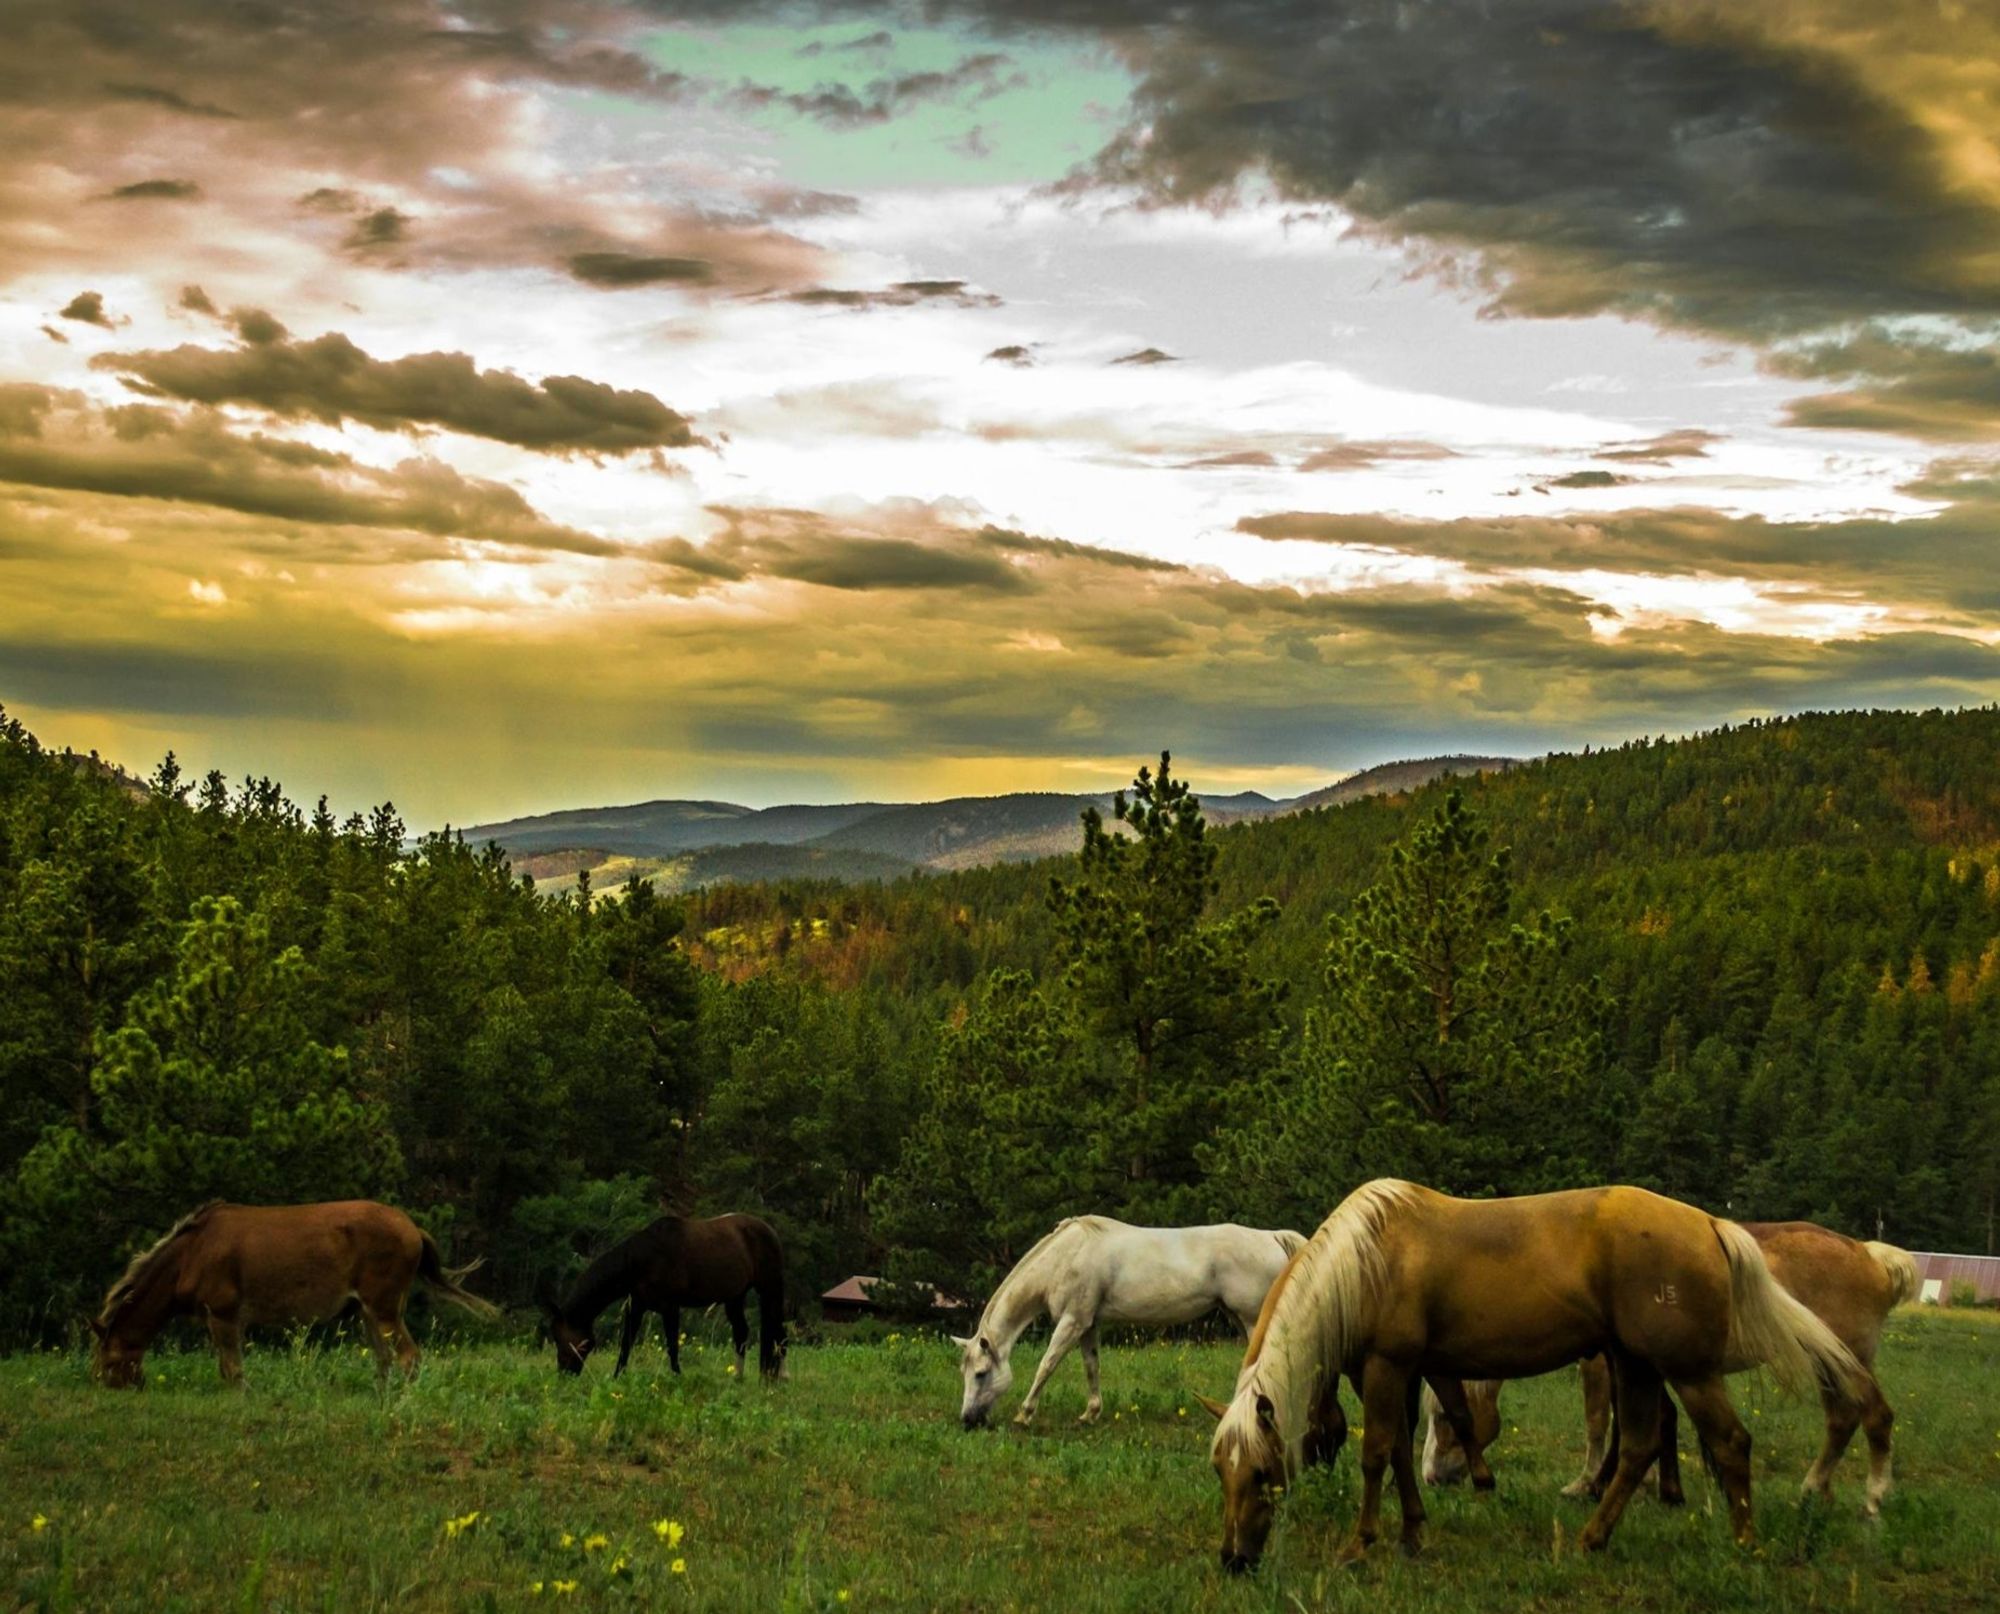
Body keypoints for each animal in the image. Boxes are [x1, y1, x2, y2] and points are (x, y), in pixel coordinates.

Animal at [91, 1200, 500, 1392]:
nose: (114, 1386)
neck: (189, 1257)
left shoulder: (223, 1312)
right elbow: (227, 1367)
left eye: (108, 1360)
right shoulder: (219, 1318)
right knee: (385, 1359)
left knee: (409, 1357)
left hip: (383, 1306)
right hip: (369, 1310)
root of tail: (413, 1228)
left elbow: (232, 1369)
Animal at [544, 1216, 784, 1384]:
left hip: (769, 1289)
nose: (564, 1375)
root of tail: (770, 1230)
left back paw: (776, 1377)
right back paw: (738, 1378)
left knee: (777, 1332)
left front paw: (678, 1378)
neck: (644, 1260)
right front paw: (616, 1378)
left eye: (562, 1338)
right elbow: (626, 1344)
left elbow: (672, 1346)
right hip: (735, 1296)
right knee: (742, 1332)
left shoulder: (670, 1307)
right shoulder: (637, 1307)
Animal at [956, 1216, 1312, 1432]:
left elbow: (1047, 1365)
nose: (968, 1420)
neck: (1066, 1256)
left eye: (981, 1373)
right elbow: (1091, 1367)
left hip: (1252, 1319)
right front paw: (1090, 1413)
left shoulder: (1072, 1322)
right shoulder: (1088, 1325)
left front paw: (1024, 1414)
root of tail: (1271, 1237)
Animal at [1424, 1224, 1920, 1512]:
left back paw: (1874, 1497)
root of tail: (1871, 1255)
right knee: (1842, 1420)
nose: (1432, 1477)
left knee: (1875, 1416)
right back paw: (1814, 1489)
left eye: (1446, 1419)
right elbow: (1653, 1420)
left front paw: (1588, 1484)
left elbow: (1600, 1423)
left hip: (1844, 1360)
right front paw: (1652, 1487)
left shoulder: (1600, 1365)